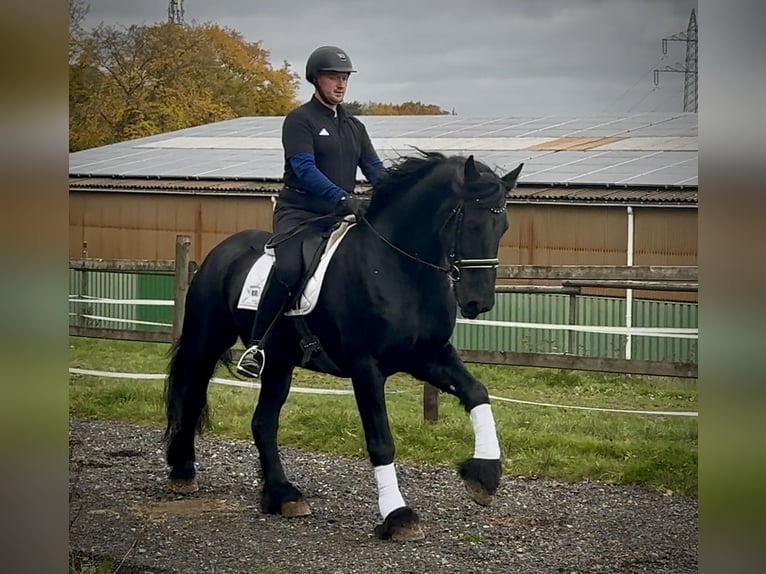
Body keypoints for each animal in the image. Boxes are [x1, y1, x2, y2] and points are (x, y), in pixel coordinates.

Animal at [164, 151, 523, 541]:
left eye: (503, 227)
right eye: (469, 223)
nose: (478, 303)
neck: (400, 268)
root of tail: (223, 250)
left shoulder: (427, 355)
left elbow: (476, 392)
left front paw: (484, 475)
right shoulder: (366, 367)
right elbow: (380, 439)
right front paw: (398, 515)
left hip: (279, 362)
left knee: (263, 422)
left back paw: (283, 495)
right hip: (207, 340)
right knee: (192, 395)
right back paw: (183, 472)